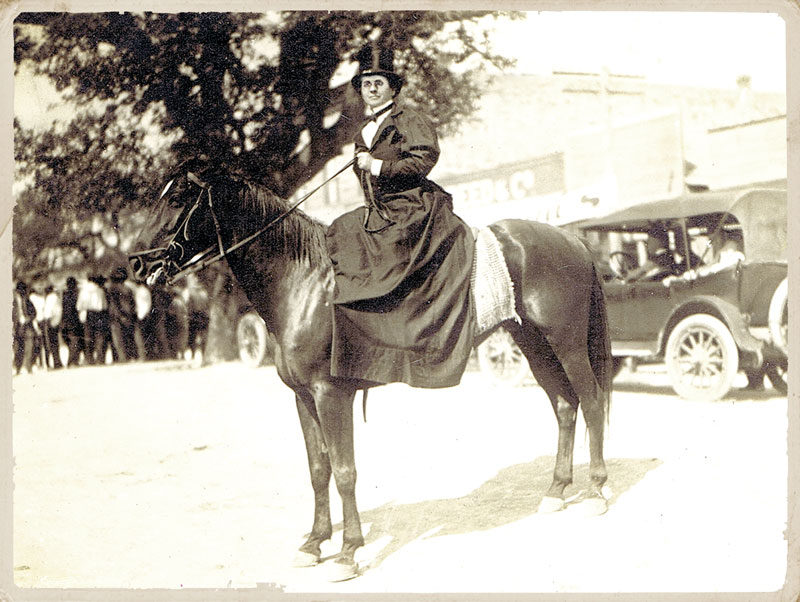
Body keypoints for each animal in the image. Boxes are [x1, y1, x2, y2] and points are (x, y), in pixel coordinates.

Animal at [130, 158, 612, 576]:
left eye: (181, 197)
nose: (137, 262)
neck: (304, 284)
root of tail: (574, 240)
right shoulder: (302, 397)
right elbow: (318, 469)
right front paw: (314, 543)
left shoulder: (331, 393)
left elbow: (345, 472)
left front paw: (348, 551)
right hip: (534, 346)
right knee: (565, 407)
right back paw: (556, 490)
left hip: (566, 344)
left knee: (590, 402)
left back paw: (595, 491)